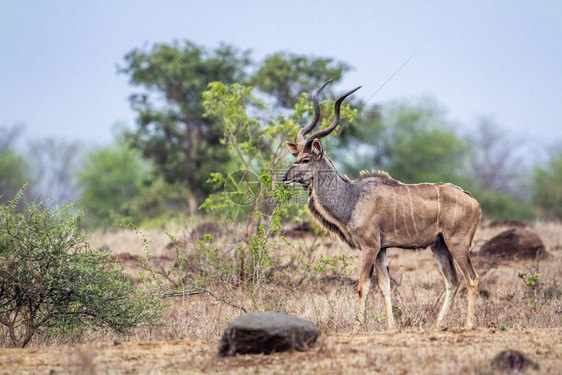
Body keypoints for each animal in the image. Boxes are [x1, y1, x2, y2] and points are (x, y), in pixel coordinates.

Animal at [282, 83, 480, 332]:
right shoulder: (382, 249)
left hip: (458, 244)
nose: (285, 178)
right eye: (296, 156)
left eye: (306, 159)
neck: (353, 198)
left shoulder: (370, 247)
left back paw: (468, 324)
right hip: (439, 246)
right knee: (452, 282)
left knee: (472, 279)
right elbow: (385, 286)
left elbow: (362, 286)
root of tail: (475, 203)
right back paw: (437, 324)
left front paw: (356, 328)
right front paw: (391, 327)